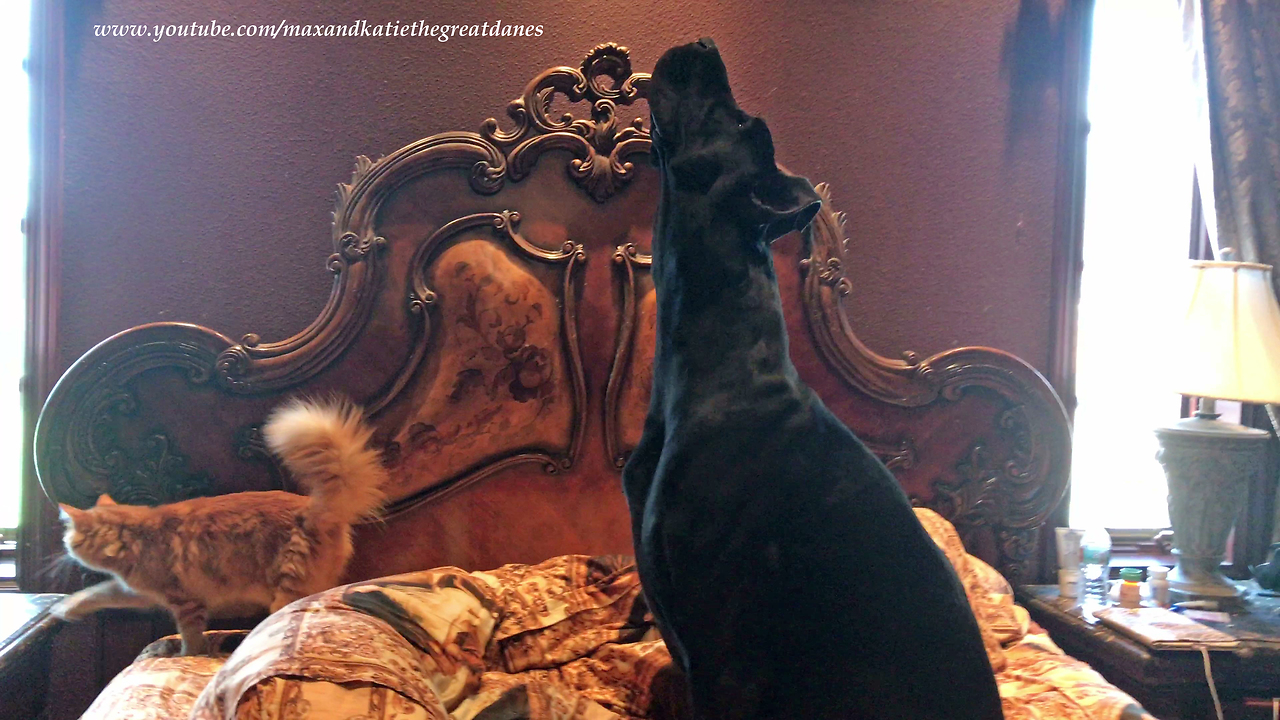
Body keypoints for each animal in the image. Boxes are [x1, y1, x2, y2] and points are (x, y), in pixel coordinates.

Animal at [49, 394, 386, 653]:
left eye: (69, 540)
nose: (64, 551)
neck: (135, 538)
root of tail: (312, 508)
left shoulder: (186, 603)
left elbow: (190, 637)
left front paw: (186, 655)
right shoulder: (136, 591)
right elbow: (97, 593)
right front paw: (65, 609)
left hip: (286, 593)